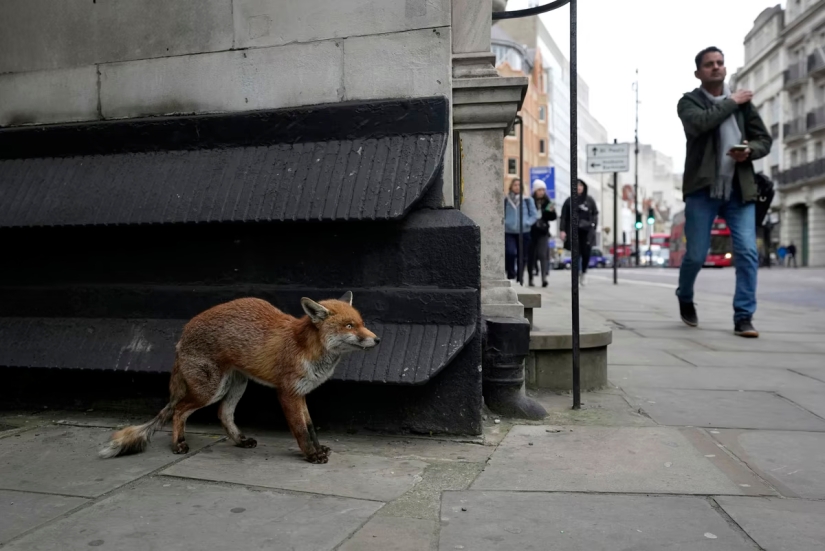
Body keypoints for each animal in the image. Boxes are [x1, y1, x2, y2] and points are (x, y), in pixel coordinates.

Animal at [99, 292, 379, 464]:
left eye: (362, 323)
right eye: (350, 326)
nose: (377, 340)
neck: (306, 349)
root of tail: (182, 334)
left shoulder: (301, 393)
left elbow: (310, 427)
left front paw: (318, 449)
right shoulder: (287, 392)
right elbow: (300, 430)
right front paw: (311, 456)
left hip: (235, 385)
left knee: (223, 413)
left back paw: (240, 441)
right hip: (211, 389)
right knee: (178, 411)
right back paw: (178, 444)